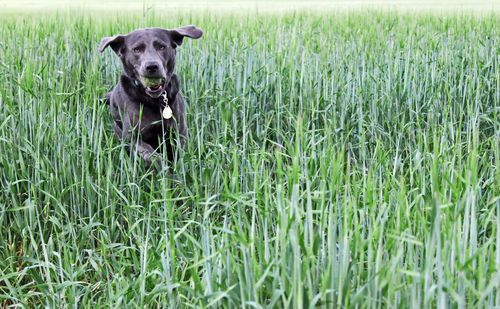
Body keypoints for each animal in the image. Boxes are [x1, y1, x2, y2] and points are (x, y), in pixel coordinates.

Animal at [98, 25, 202, 165]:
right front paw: (164, 168)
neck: (155, 100)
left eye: (162, 47)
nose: (152, 66)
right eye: (136, 49)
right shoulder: (132, 137)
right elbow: (153, 156)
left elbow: (177, 157)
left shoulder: (178, 133)